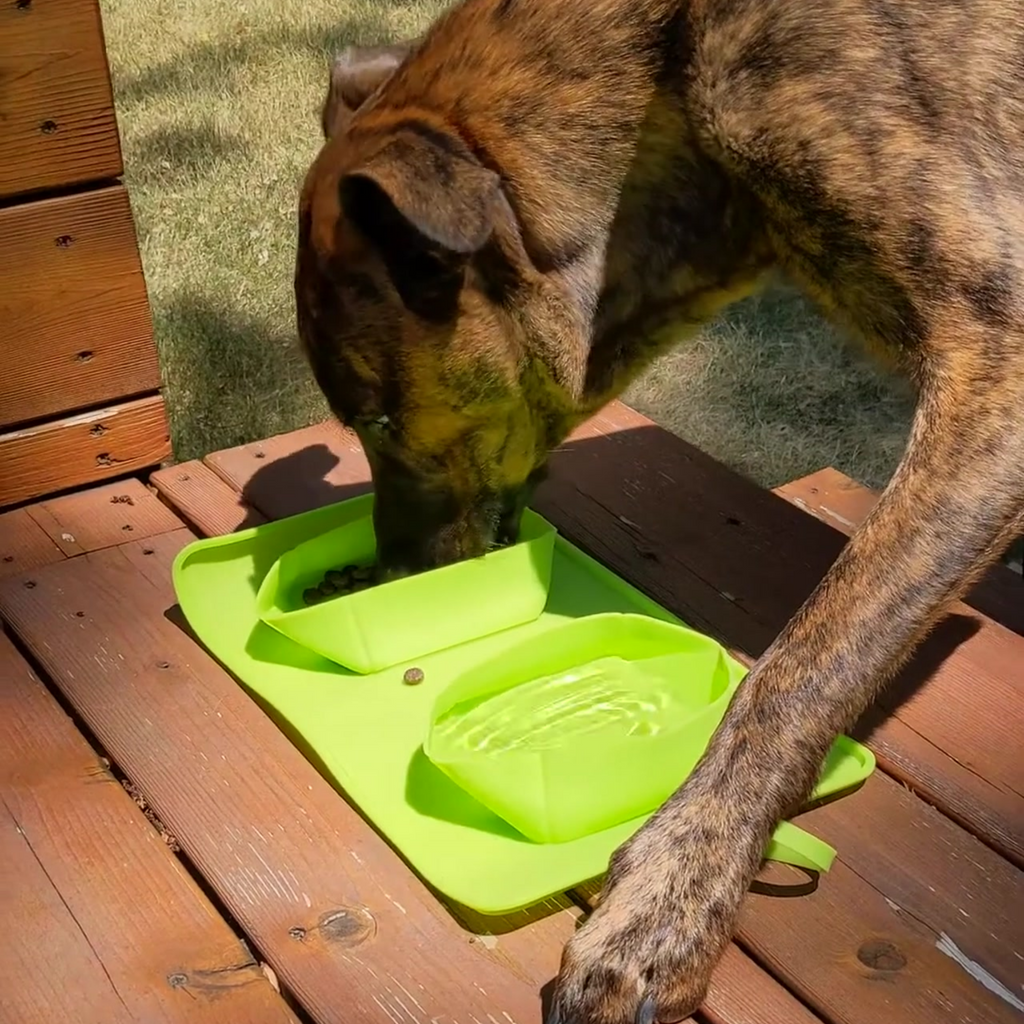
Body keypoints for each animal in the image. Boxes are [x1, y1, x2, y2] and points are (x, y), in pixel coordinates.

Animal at [294, 4, 1024, 1019]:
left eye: (377, 420)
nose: (394, 575)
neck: (669, 67)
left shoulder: (997, 365)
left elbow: (793, 679)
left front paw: (669, 898)